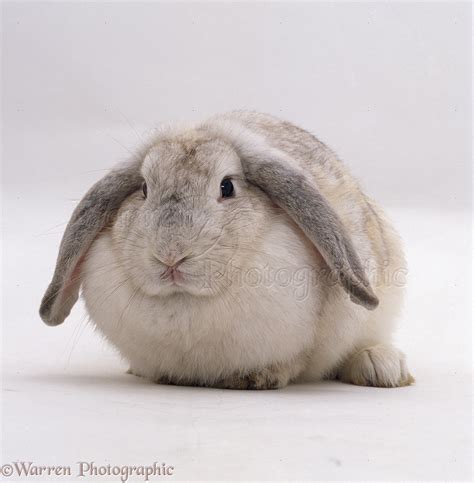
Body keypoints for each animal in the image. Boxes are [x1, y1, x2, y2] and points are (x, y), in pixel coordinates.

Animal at [39, 110, 412, 390]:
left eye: (227, 187)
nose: (170, 255)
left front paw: (257, 378)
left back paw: (381, 367)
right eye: (143, 189)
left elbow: (295, 361)